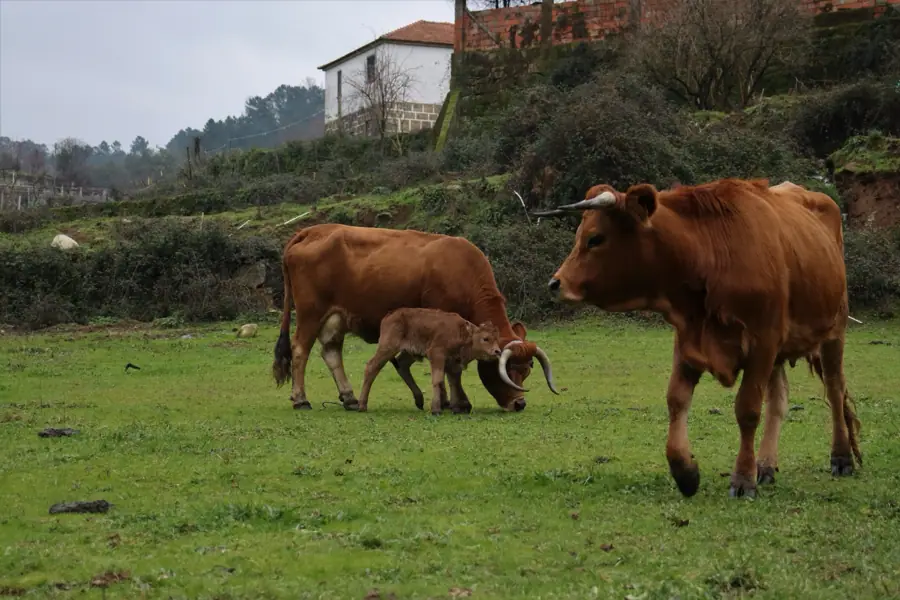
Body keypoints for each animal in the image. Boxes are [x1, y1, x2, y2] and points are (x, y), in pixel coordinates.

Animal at [357, 308, 503, 414]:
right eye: (485, 338)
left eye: (497, 338)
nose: (497, 351)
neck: (461, 333)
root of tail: (390, 315)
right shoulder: (436, 354)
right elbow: (438, 380)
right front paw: (436, 409)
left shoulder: (453, 363)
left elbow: (453, 382)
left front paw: (456, 407)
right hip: (387, 348)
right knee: (372, 367)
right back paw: (362, 405)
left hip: (408, 353)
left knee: (401, 365)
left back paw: (419, 400)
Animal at [534, 178, 861, 499]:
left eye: (595, 239)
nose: (555, 283)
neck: (711, 251)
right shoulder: (689, 341)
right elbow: (677, 400)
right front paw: (685, 471)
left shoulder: (762, 343)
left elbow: (747, 410)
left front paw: (743, 478)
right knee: (779, 400)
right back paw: (766, 465)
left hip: (833, 332)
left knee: (834, 390)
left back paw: (841, 457)